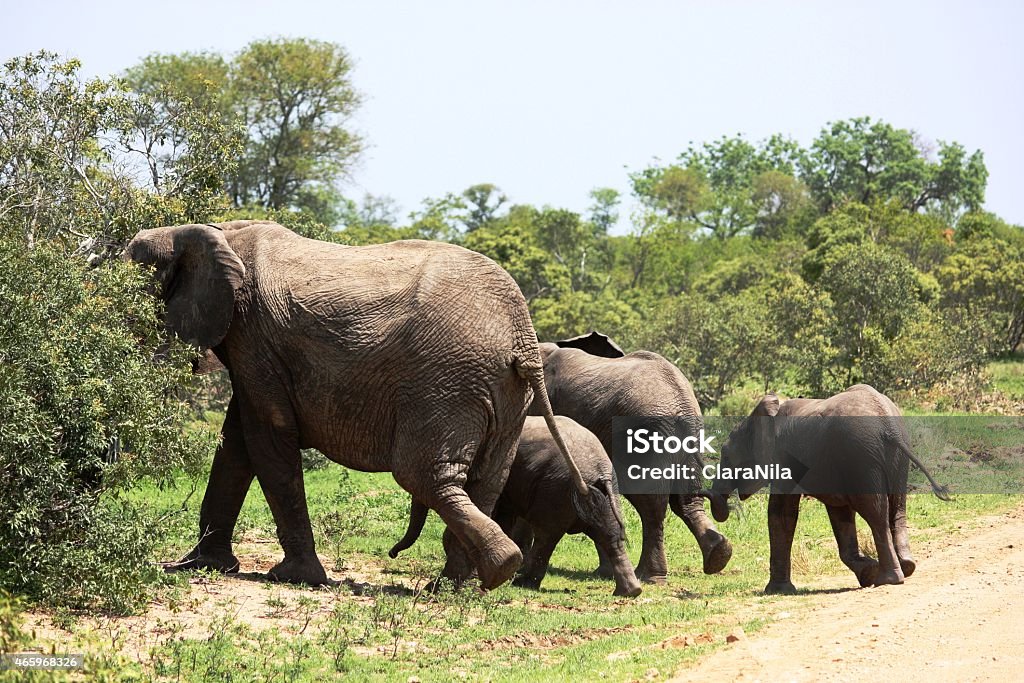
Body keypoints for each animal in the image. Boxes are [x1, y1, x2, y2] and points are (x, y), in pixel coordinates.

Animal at [121, 222, 585, 589]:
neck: (213, 231)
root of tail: (521, 335)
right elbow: (236, 442)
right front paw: (202, 566)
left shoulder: (254, 337)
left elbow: (266, 434)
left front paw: (293, 577)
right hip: (502, 393)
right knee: (484, 480)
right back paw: (461, 584)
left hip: (446, 383)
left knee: (423, 475)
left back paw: (489, 572)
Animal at [391, 413, 638, 593]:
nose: (392, 554)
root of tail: (600, 469)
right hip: (605, 495)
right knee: (610, 535)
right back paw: (630, 592)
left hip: (556, 491)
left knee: (546, 536)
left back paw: (522, 583)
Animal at [532, 331, 733, 581]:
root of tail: (681, 401)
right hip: (686, 436)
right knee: (686, 498)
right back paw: (718, 555)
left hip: (644, 435)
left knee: (651, 503)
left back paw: (649, 576)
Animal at [704, 385, 950, 593]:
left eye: (726, 456)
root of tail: (889, 428)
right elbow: (840, 514)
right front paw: (867, 572)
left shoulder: (785, 456)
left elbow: (781, 513)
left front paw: (776, 591)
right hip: (891, 459)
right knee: (897, 509)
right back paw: (906, 567)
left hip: (861, 455)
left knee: (875, 513)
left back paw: (888, 580)